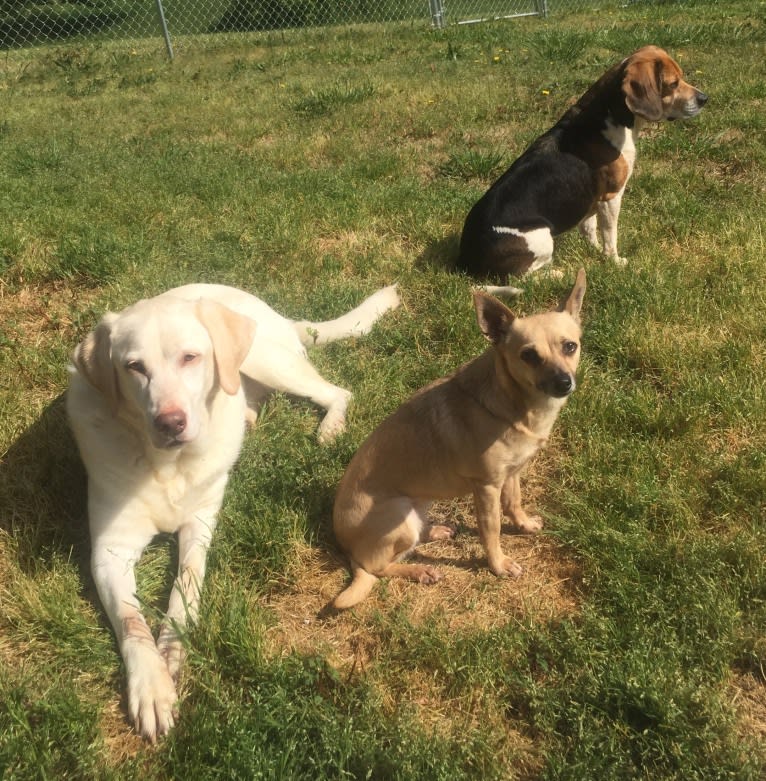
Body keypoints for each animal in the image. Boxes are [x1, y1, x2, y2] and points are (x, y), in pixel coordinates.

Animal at [67, 282, 402, 736]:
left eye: (190, 357)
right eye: (134, 367)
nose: (170, 423)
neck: (167, 466)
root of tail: (272, 312)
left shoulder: (199, 526)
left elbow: (186, 587)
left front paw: (173, 649)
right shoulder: (109, 551)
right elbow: (130, 620)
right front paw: (151, 685)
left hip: (266, 359)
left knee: (337, 392)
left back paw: (329, 427)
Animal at [332, 270, 588, 608]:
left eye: (570, 346)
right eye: (529, 356)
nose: (563, 382)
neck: (514, 403)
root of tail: (347, 551)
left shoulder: (511, 474)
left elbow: (514, 502)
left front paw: (523, 525)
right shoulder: (487, 488)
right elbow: (491, 531)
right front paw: (498, 565)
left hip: (419, 503)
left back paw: (435, 531)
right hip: (399, 514)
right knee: (378, 568)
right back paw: (420, 571)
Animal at [460, 46, 712, 284]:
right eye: (673, 83)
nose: (704, 99)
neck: (609, 116)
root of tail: (466, 260)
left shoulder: (592, 200)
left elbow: (589, 228)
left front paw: (594, 251)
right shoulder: (611, 196)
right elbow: (610, 234)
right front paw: (614, 261)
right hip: (541, 237)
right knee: (520, 277)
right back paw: (558, 274)